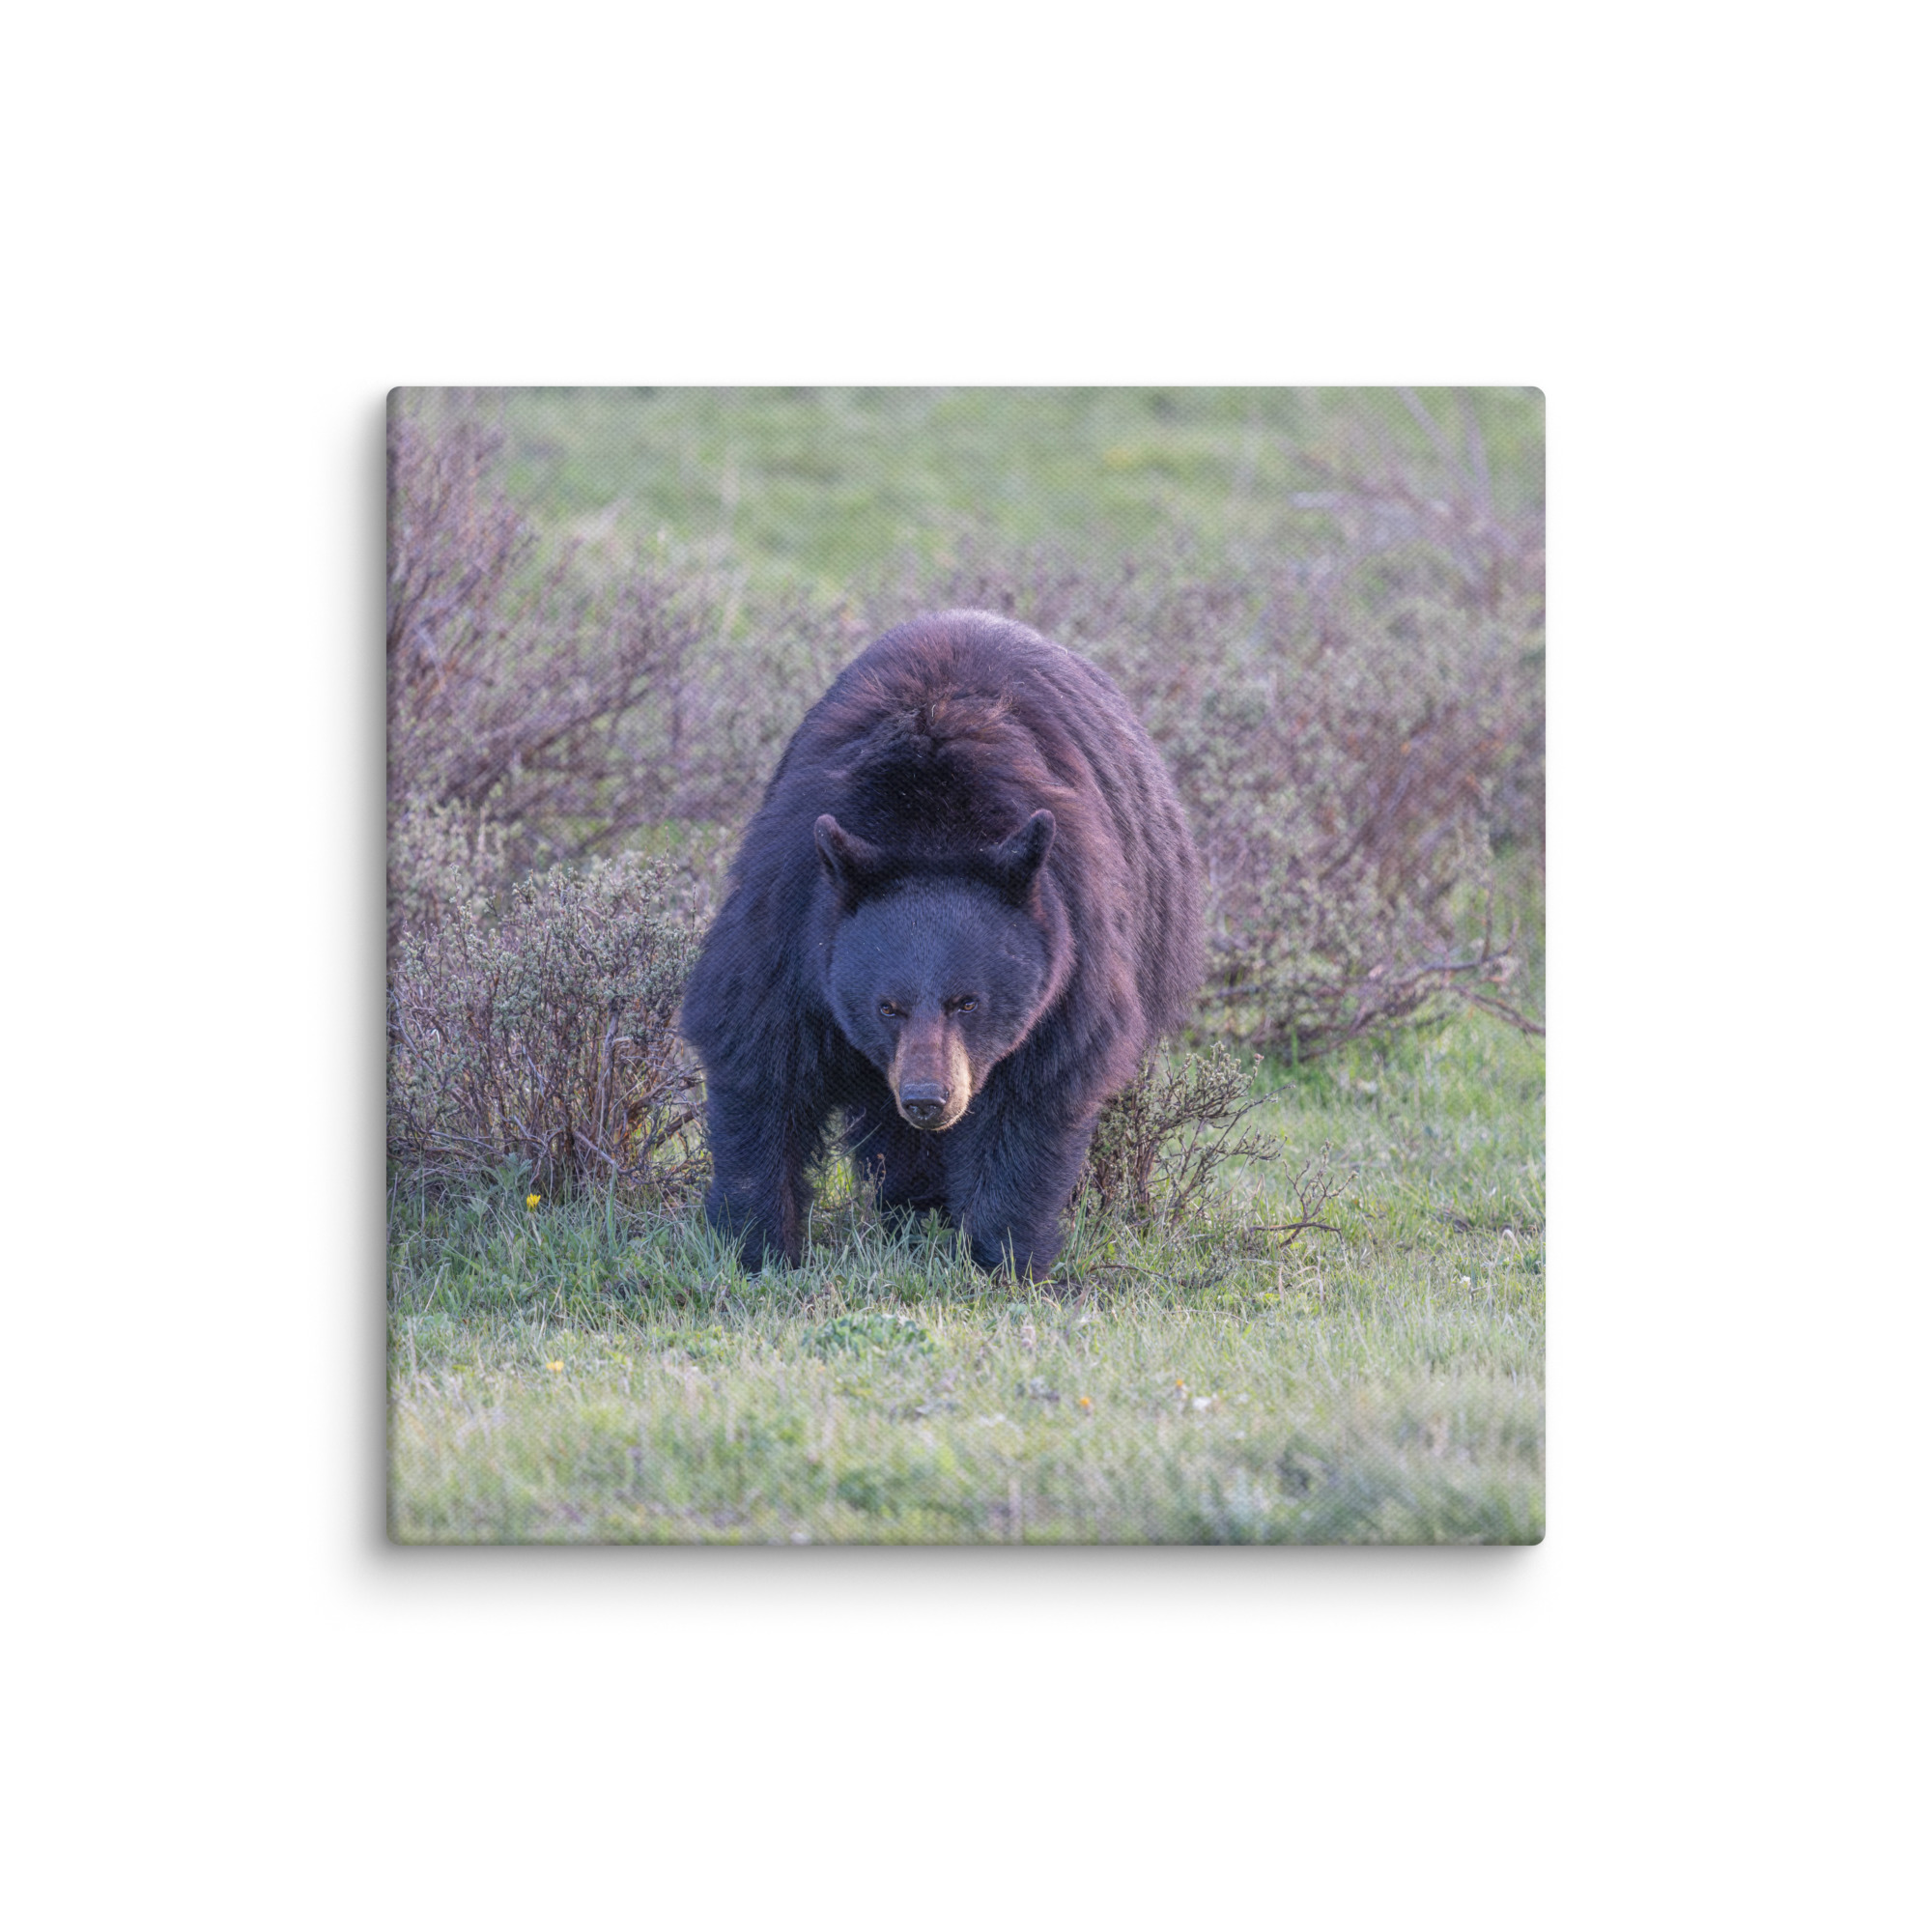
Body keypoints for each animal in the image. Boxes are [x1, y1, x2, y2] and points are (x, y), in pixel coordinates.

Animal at [680, 609, 1203, 1276]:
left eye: (968, 1001)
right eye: (887, 1006)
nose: (929, 1099)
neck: (930, 824)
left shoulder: (1073, 942)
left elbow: (1036, 1091)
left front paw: (1005, 1256)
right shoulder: (791, 917)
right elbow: (760, 1058)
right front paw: (759, 1245)